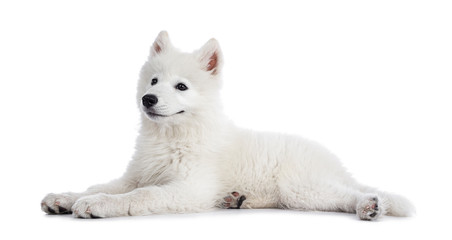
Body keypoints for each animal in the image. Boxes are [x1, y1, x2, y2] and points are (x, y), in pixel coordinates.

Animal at [40, 31, 414, 220]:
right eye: (154, 80)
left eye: (181, 87)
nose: (148, 99)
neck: (173, 135)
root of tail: (336, 164)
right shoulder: (135, 174)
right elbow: (102, 185)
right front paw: (65, 197)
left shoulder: (189, 187)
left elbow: (142, 195)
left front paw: (99, 205)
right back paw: (234, 200)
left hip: (302, 189)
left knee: (348, 195)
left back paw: (369, 205)